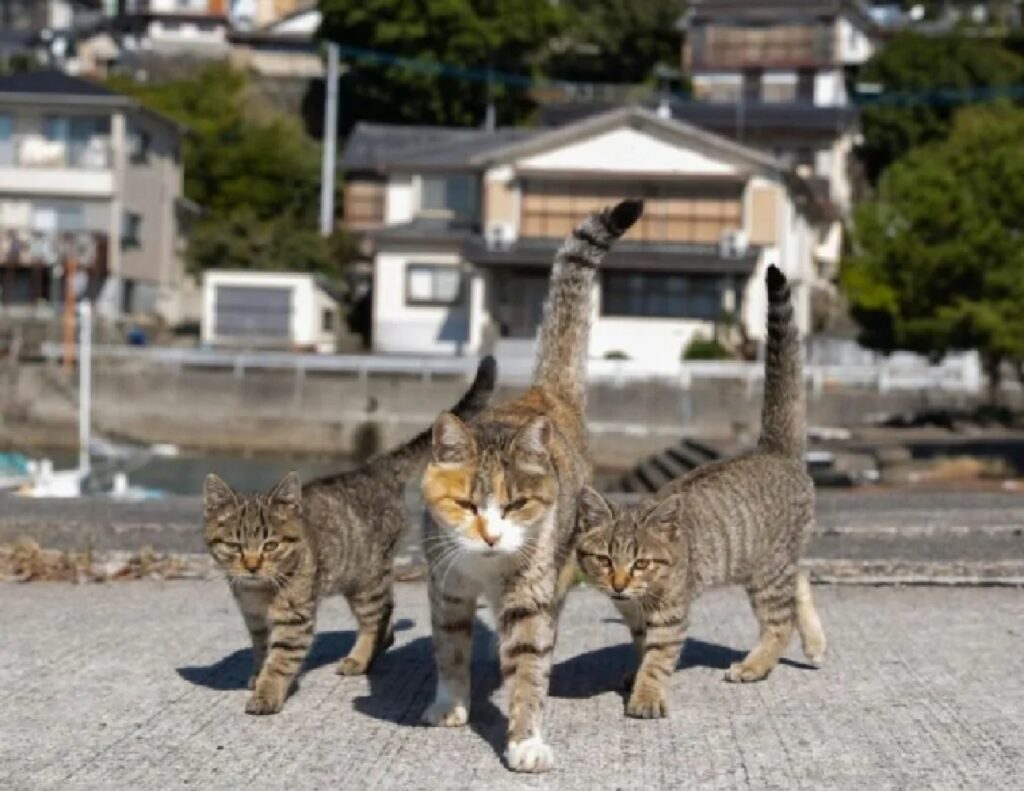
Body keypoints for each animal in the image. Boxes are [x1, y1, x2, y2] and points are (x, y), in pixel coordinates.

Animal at [200, 354, 495, 713]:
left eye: (270, 545)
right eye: (235, 545)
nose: (253, 566)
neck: (258, 592)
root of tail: (373, 468)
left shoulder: (295, 618)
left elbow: (281, 659)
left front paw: (267, 693)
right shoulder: (255, 619)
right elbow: (262, 650)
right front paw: (258, 674)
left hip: (366, 579)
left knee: (377, 616)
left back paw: (360, 658)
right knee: (387, 617)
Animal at [419, 197, 643, 770]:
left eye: (517, 504)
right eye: (464, 504)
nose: (490, 536)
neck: (485, 569)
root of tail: (545, 392)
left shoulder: (530, 592)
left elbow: (527, 662)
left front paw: (524, 740)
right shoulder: (446, 583)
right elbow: (448, 648)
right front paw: (449, 704)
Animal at [577, 266, 823, 717]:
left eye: (641, 563)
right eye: (604, 559)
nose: (618, 584)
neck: (638, 599)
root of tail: (772, 449)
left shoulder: (669, 615)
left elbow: (658, 658)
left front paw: (646, 695)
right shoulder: (634, 616)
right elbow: (641, 649)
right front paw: (634, 675)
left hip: (766, 570)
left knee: (780, 622)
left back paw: (755, 665)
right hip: (767, 562)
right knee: (801, 578)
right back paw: (814, 644)